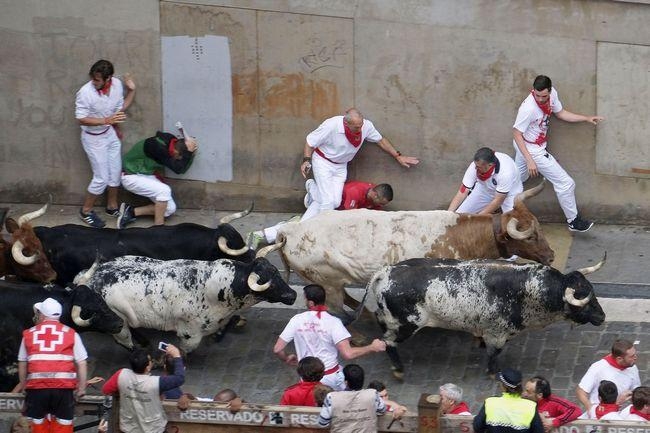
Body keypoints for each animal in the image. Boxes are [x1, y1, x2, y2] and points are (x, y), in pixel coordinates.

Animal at [76, 243, 296, 352]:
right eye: (270, 282)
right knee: (126, 341)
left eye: (277, 273)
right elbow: (184, 351)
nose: (293, 295)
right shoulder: (190, 333)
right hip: (118, 322)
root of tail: (91, 278)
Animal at [368, 255, 604, 376]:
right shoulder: (497, 333)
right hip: (404, 325)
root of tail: (386, 272)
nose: (602, 317)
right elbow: (494, 354)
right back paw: (398, 369)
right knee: (387, 342)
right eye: (585, 300)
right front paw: (493, 372)